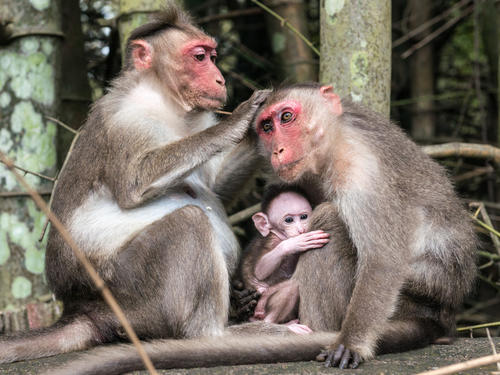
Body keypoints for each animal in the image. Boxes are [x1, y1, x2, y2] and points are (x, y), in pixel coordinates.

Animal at [241, 185, 330, 334]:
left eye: (304, 216)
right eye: (288, 220)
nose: (301, 229)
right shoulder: (272, 241)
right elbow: (260, 271)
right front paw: (294, 243)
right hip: (260, 308)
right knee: (292, 287)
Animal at [252, 83, 478, 370]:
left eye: (286, 117)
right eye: (266, 127)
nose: (277, 151)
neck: (337, 142)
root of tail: (440, 314)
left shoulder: (362, 172)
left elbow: (383, 260)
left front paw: (350, 344)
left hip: (403, 305)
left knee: (330, 219)